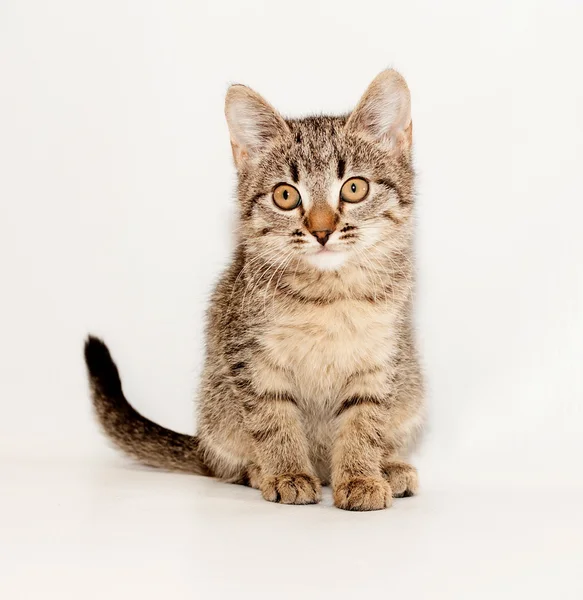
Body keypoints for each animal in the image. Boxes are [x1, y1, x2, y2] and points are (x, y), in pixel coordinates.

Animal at [84, 69, 424, 510]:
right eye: (286, 195)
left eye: (354, 188)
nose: (321, 231)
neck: (328, 295)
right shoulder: (251, 359)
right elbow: (273, 420)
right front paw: (287, 472)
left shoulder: (380, 360)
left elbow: (364, 423)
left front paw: (361, 476)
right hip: (216, 410)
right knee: (233, 467)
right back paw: (263, 471)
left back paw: (390, 467)